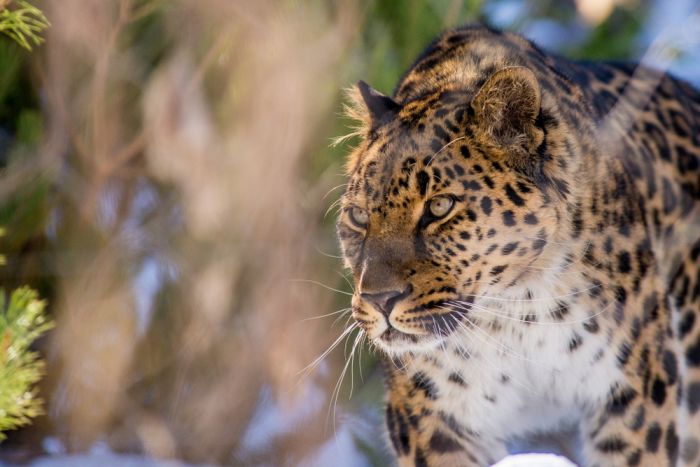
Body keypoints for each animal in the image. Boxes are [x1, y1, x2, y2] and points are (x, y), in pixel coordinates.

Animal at [336, 24, 700, 467]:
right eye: (358, 217)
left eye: (439, 206)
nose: (379, 300)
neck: (514, 311)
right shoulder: (433, 419)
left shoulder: (639, 390)